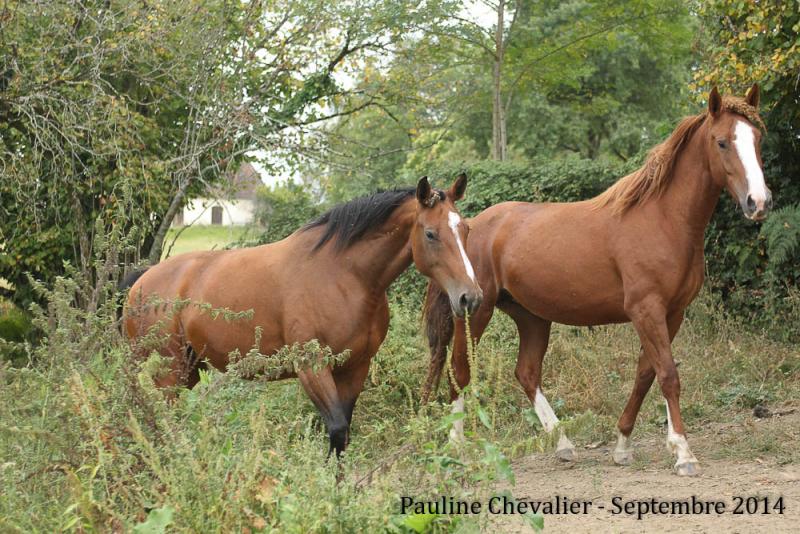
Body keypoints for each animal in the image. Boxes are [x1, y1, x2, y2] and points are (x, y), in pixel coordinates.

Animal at [123, 175, 483, 456]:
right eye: (431, 234)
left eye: (466, 230)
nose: (471, 297)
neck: (343, 275)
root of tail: (141, 282)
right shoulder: (312, 367)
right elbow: (336, 429)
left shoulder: (355, 367)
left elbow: (344, 433)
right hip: (167, 371)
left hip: (190, 368)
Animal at [422, 85, 769, 476]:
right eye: (722, 142)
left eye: (757, 139)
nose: (758, 202)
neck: (662, 219)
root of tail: (468, 227)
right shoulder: (646, 310)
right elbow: (667, 375)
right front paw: (683, 453)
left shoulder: (671, 313)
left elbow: (645, 375)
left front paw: (622, 445)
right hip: (474, 312)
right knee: (460, 371)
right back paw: (457, 450)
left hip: (532, 317)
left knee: (526, 372)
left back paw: (563, 444)